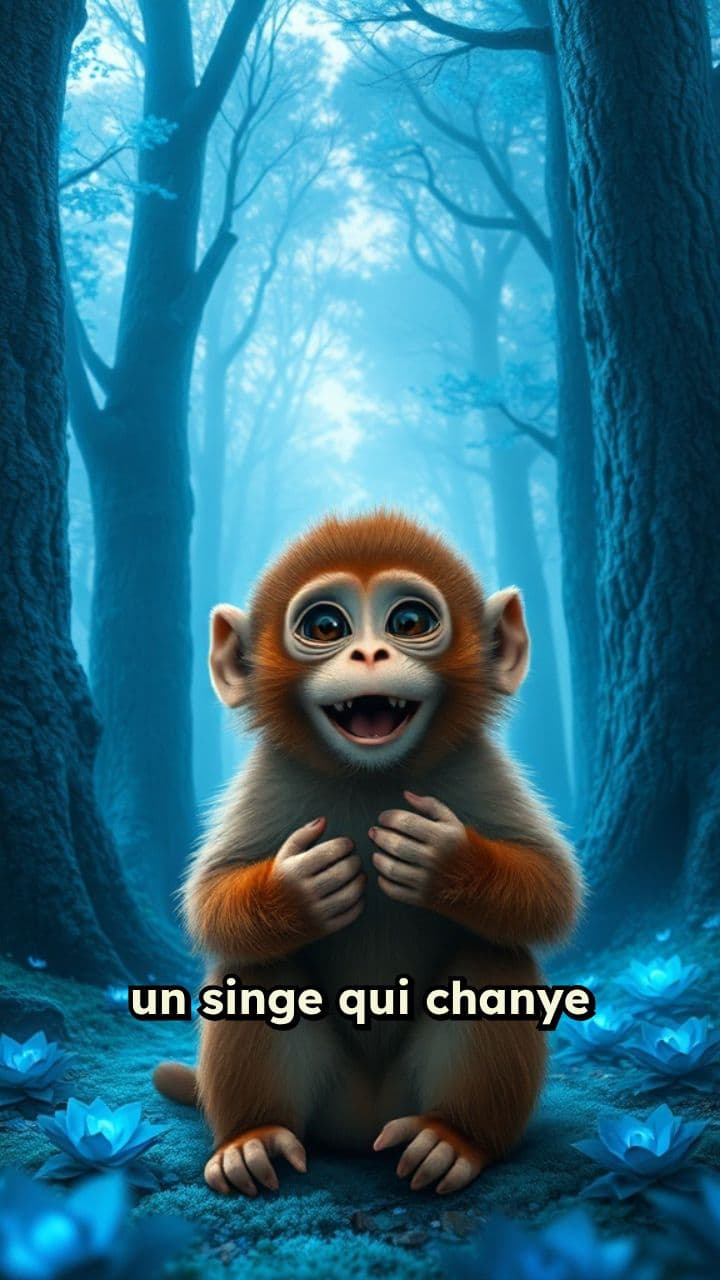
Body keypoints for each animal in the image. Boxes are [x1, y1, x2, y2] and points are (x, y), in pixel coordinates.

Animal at [154, 510, 583, 1198]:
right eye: (325, 627)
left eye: (409, 622)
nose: (370, 653)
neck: (369, 775)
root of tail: (365, 1126)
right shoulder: (268, 780)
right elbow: (209, 906)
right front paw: (300, 888)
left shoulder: (480, 767)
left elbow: (553, 894)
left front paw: (443, 860)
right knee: (258, 969)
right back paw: (254, 1137)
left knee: (493, 960)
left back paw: (452, 1138)